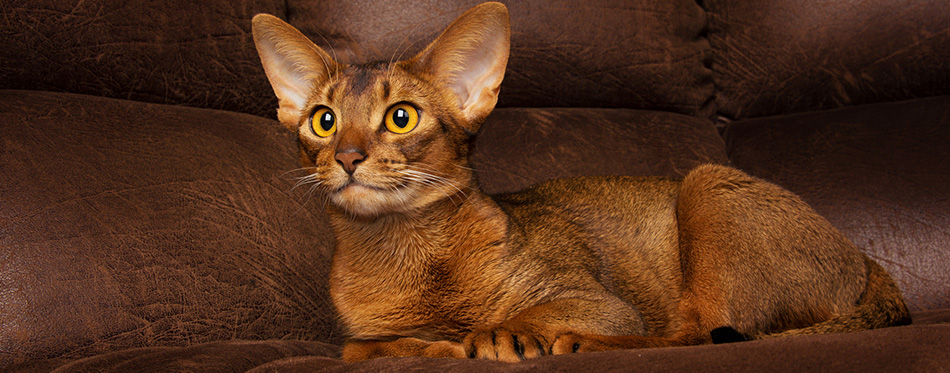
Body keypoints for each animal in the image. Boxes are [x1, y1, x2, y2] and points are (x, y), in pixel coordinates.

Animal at [249, 2, 912, 360]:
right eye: (323, 120)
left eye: (401, 116)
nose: (348, 157)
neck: (407, 253)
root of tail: (864, 259)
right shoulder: (360, 336)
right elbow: (365, 346)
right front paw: (439, 342)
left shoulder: (599, 303)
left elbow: (522, 316)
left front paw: (495, 337)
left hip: (707, 183)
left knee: (699, 335)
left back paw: (578, 347)